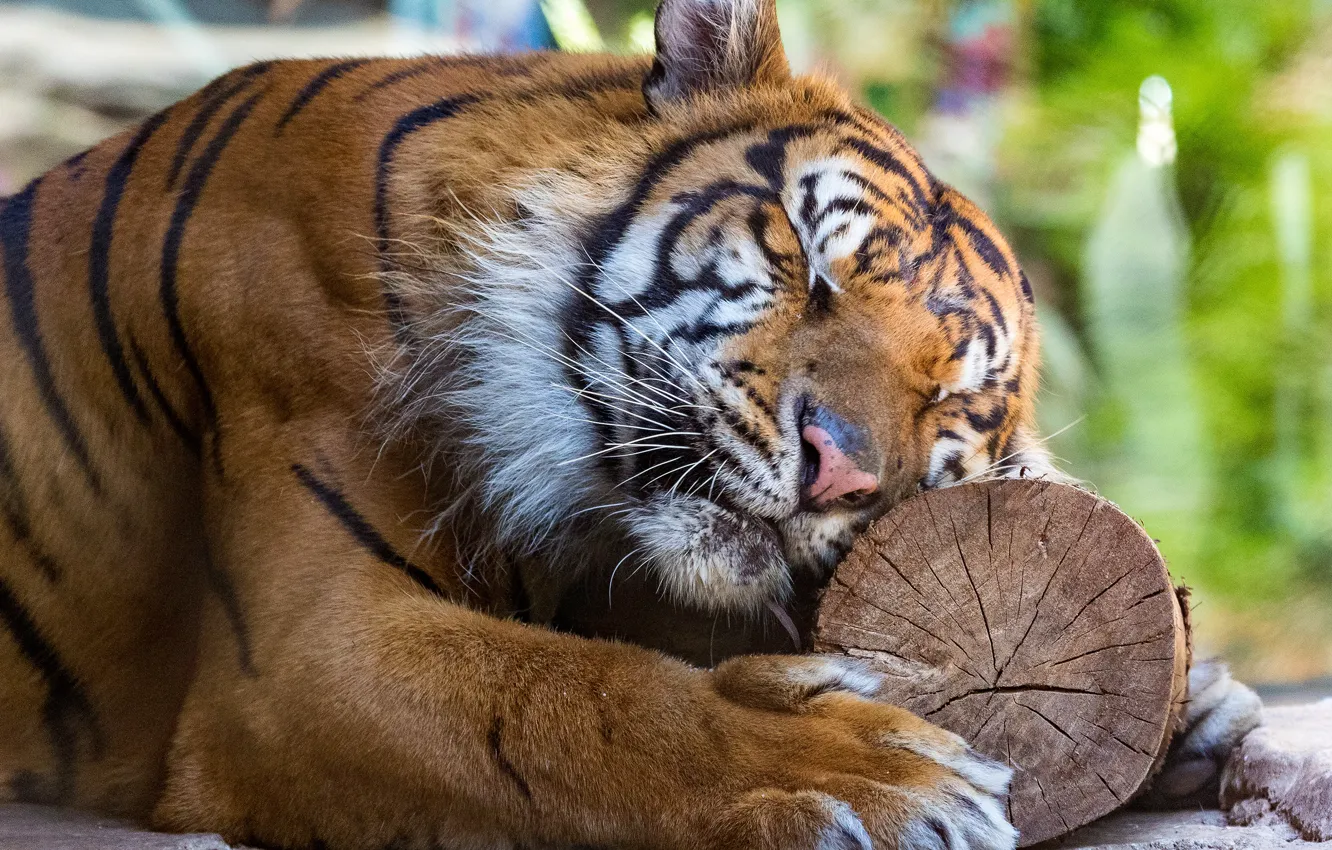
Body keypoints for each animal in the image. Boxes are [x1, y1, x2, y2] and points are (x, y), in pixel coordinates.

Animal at [0, 0, 1262, 847]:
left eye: (947, 397)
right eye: (812, 267)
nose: (838, 473)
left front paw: (1200, 709)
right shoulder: (304, 654)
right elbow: (574, 700)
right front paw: (880, 774)